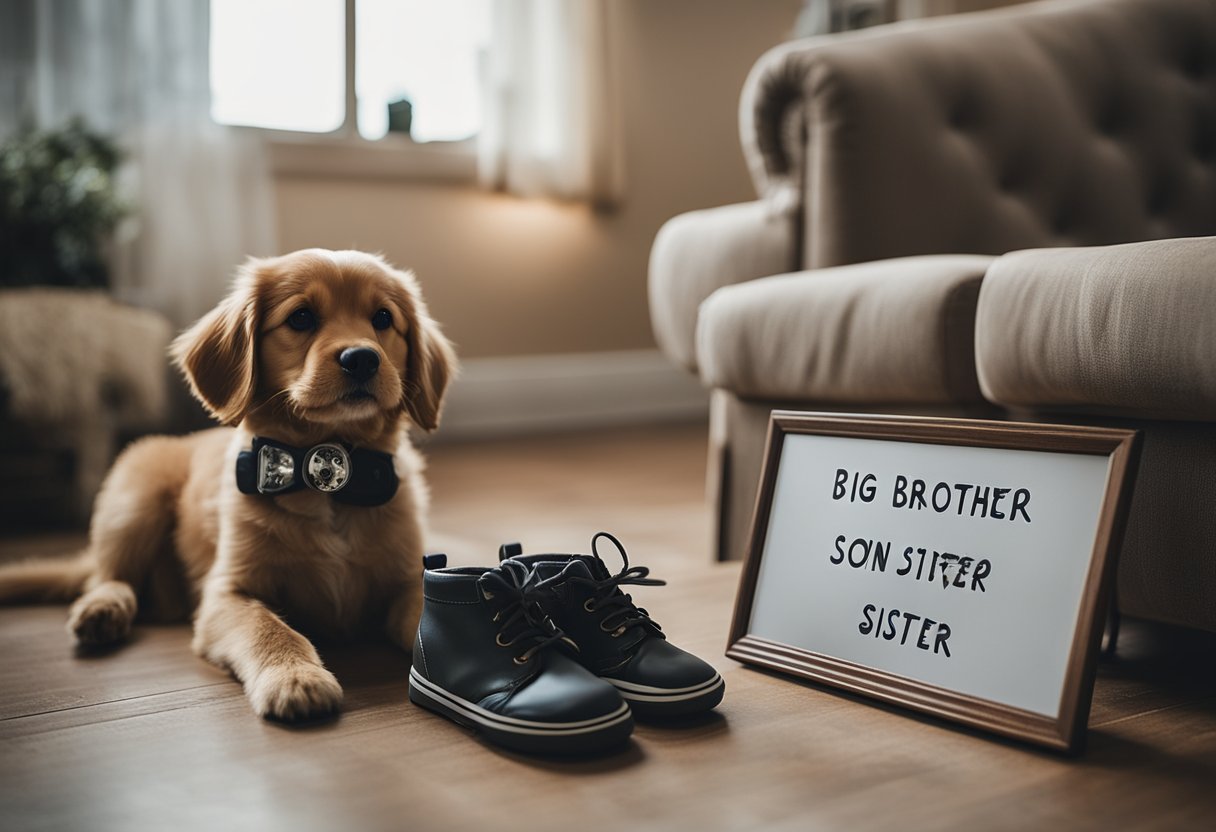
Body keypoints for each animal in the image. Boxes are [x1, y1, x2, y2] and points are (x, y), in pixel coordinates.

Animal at [0, 248, 454, 720]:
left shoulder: (407, 579)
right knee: (107, 575)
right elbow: (269, 627)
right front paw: (295, 678)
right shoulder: (227, 593)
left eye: (383, 318)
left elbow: (428, 615)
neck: (332, 487)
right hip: (136, 496)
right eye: (301, 317)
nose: (362, 358)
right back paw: (103, 608)